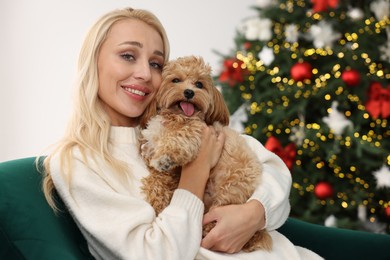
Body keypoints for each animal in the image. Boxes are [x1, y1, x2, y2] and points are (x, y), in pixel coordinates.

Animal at [139, 55, 272, 252]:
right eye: (175, 80)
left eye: (199, 84)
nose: (189, 92)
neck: (174, 117)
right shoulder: (163, 164)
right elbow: (157, 178)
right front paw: (158, 200)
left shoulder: (194, 132)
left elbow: (178, 139)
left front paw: (166, 157)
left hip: (232, 187)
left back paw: (208, 228)